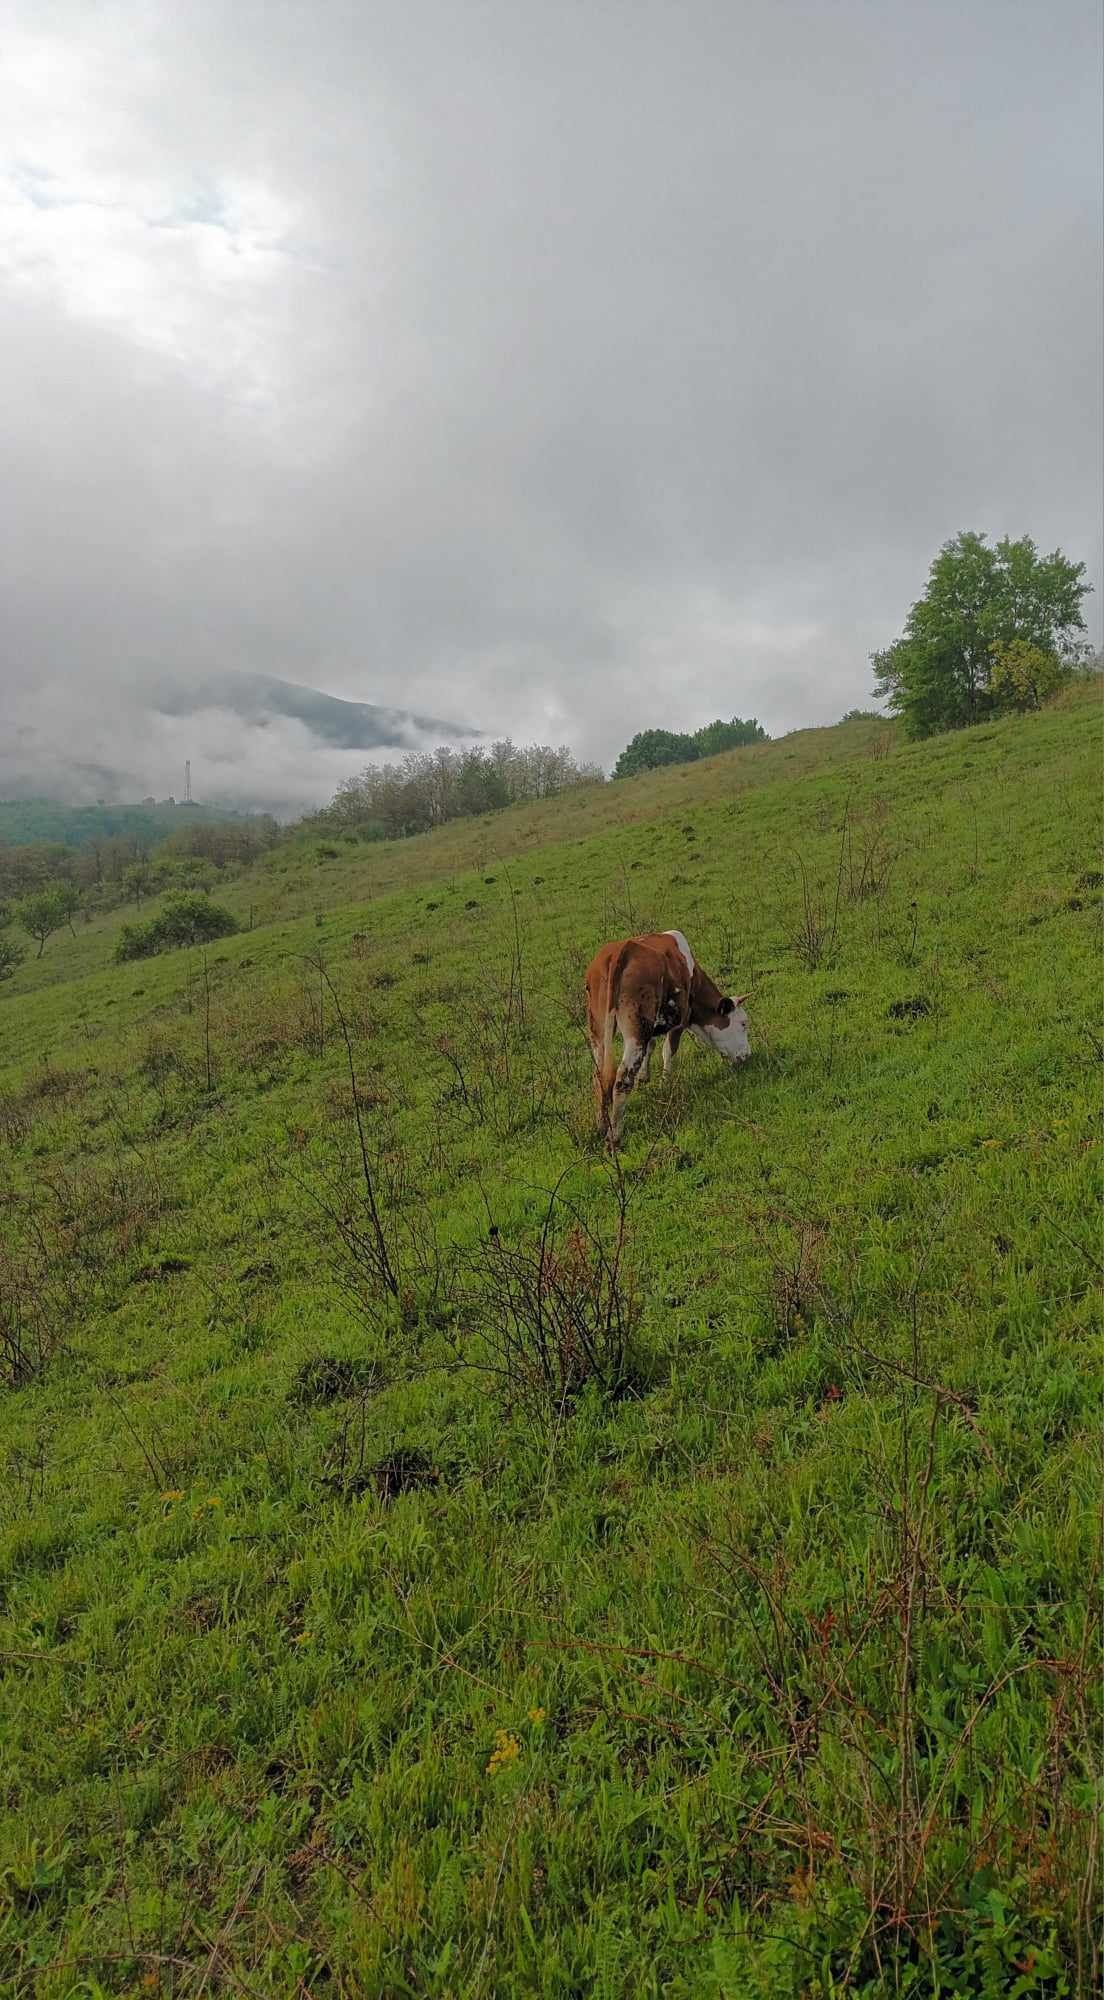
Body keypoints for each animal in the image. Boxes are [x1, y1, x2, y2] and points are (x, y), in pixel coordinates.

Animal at [576, 932, 752, 1152]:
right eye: (743, 1023)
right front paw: (665, 1085)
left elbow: (651, 1046)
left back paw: (601, 1125)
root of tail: (619, 951)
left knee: (599, 1076)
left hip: (598, 1029)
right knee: (622, 1079)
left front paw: (644, 1076)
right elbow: (668, 1051)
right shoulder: (680, 1020)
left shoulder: (653, 1024)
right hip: (636, 1030)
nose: (748, 1055)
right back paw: (614, 1137)